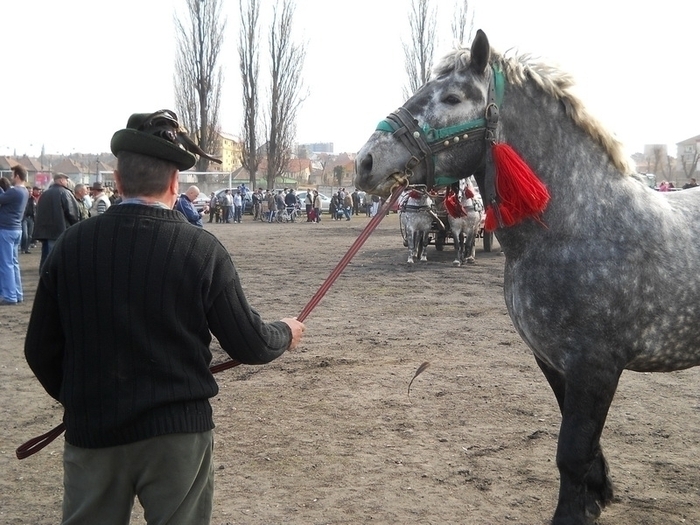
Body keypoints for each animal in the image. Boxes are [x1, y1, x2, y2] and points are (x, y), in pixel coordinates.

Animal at [356, 27, 700, 524]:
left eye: (453, 96)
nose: (365, 161)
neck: (578, 224)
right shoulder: (552, 359)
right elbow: (584, 450)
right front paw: (596, 497)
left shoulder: (595, 366)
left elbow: (572, 451)